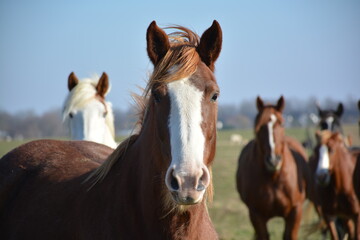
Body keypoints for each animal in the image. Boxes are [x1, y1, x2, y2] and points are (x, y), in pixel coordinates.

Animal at [236, 95, 310, 240]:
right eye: (258, 126)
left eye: (282, 123)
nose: (273, 160)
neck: (274, 177)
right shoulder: (256, 214)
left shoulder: (295, 211)